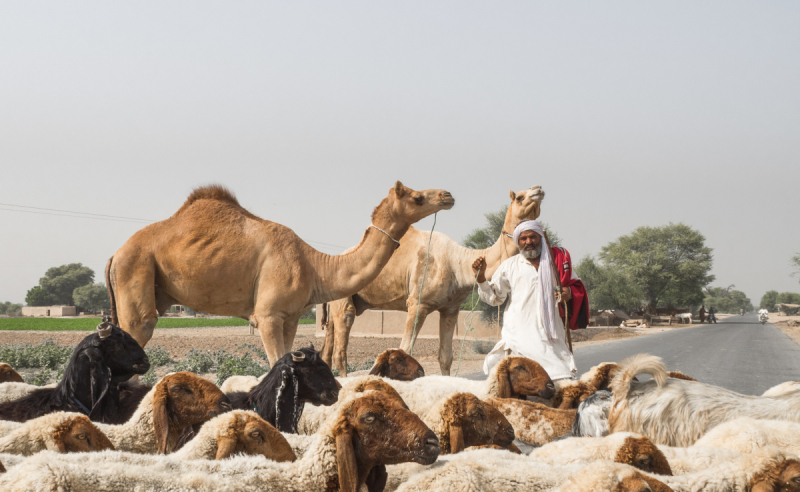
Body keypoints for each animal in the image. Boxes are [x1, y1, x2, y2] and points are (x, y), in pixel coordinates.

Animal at [106, 182, 454, 366]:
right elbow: (275, 364)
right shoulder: (269, 314)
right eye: (417, 197)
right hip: (136, 267)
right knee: (141, 324)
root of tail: (114, 254)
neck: (315, 266)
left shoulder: (290, 317)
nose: (447, 195)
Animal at [322, 186, 540, 374]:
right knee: (341, 349)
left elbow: (445, 357)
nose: (538, 189)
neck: (457, 263)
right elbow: (405, 350)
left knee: (328, 347)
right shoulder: (418, 303)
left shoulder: (451, 308)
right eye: (520, 197)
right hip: (344, 302)